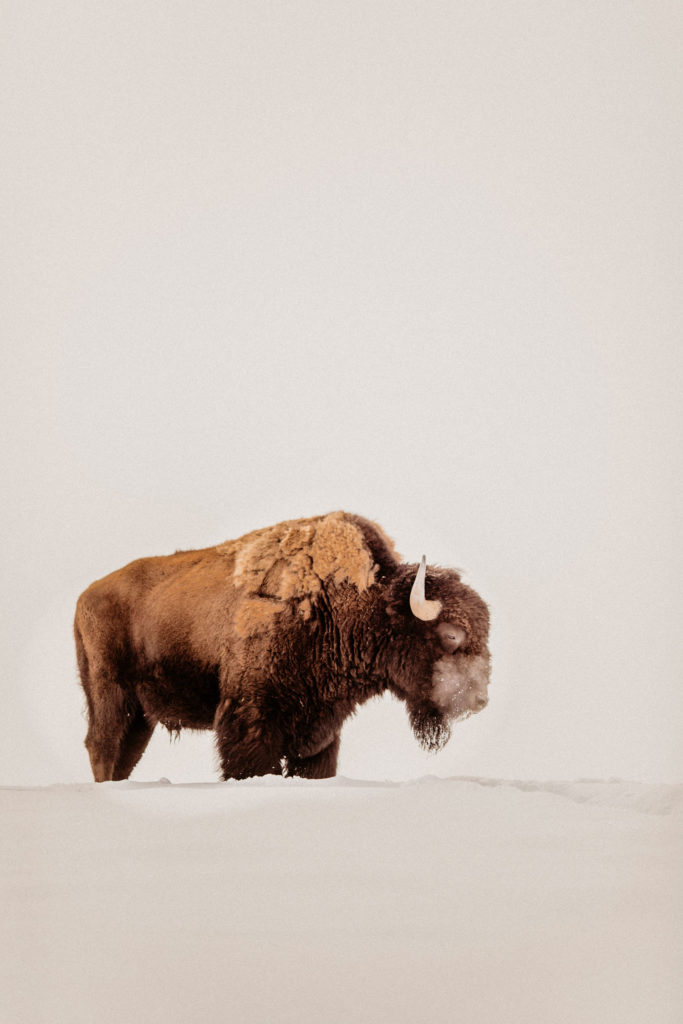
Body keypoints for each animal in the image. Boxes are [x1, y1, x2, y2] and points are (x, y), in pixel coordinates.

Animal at [74, 511, 491, 781]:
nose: (479, 699)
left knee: (123, 756)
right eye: (450, 635)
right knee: (102, 746)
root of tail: (86, 596)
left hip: (141, 716)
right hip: (111, 697)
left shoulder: (320, 735)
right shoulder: (251, 721)